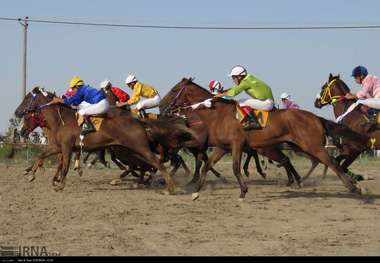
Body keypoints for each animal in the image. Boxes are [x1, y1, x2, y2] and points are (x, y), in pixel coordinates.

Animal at [13, 87, 194, 194]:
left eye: (26, 99)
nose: (16, 112)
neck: (60, 120)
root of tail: (138, 120)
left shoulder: (66, 147)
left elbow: (63, 166)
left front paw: (59, 184)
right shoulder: (58, 146)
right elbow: (42, 155)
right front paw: (31, 174)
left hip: (139, 147)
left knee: (156, 163)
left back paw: (170, 186)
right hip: (130, 149)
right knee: (147, 164)